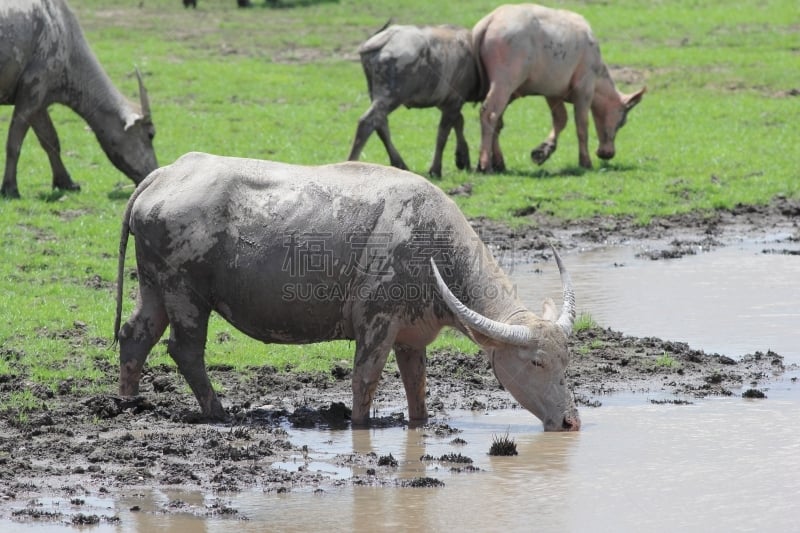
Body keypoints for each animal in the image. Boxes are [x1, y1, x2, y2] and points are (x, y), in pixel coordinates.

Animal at [0, 0, 156, 197]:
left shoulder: (39, 103)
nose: (153, 172)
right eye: (151, 134)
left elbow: (50, 140)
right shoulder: (30, 95)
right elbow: (14, 143)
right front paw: (10, 187)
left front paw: (66, 182)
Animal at [114, 151, 580, 432]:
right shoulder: (376, 325)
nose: (570, 422)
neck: (432, 246)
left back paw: (128, 403)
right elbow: (365, 381)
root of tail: (164, 174)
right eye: (536, 362)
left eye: (566, 361)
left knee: (135, 335)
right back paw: (216, 411)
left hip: (155, 286)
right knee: (185, 349)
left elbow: (417, 387)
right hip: (186, 294)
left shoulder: (412, 338)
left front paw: (420, 424)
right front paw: (359, 424)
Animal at [346, 23, 482, 178]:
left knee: (380, 123)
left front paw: (463, 158)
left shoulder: (447, 104)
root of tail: (386, 37)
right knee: (367, 122)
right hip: (391, 96)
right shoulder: (454, 102)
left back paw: (399, 164)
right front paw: (436, 169)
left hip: (375, 94)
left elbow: (459, 123)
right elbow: (443, 135)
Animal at [472, 3, 648, 170]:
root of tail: (491, 19)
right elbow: (581, 126)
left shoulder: (552, 92)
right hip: (504, 82)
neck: (598, 78)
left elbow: (560, 119)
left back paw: (498, 162)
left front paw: (544, 150)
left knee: (497, 121)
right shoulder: (584, 90)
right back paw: (484, 164)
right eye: (622, 122)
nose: (607, 154)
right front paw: (585, 161)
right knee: (490, 114)